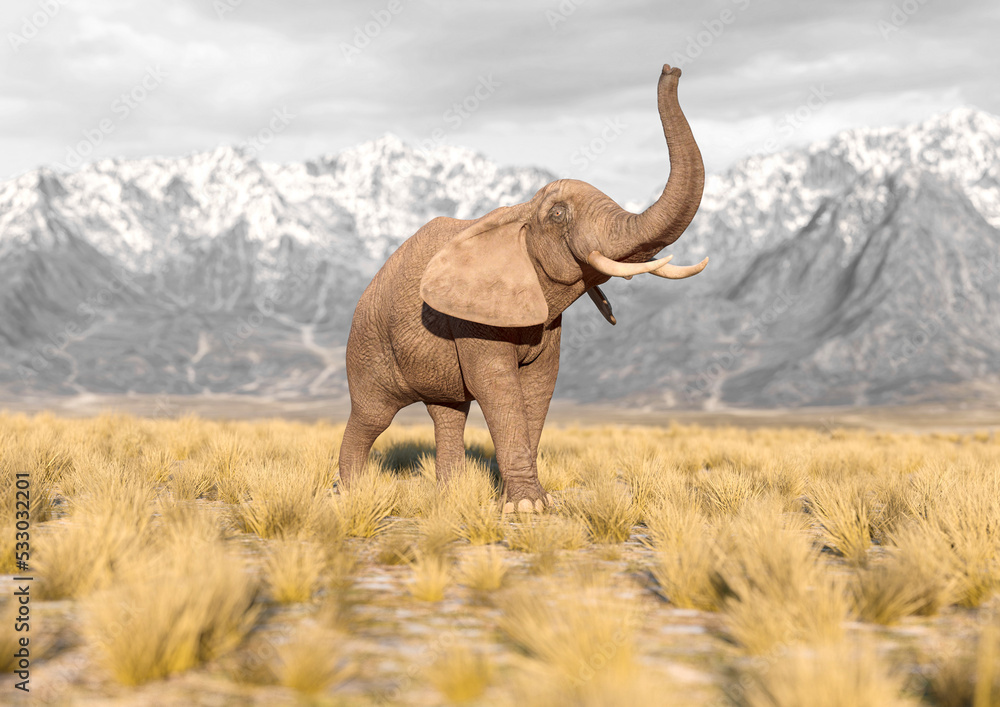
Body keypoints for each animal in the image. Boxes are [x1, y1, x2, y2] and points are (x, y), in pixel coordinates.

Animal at [337, 64, 708, 512]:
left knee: (448, 412)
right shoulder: (471, 313)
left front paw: (532, 504)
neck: (520, 214)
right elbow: (498, 385)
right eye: (558, 214)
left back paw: (450, 497)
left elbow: (538, 385)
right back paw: (350, 496)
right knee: (371, 416)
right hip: (368, 342)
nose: (671, 69)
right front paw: (527, 509)